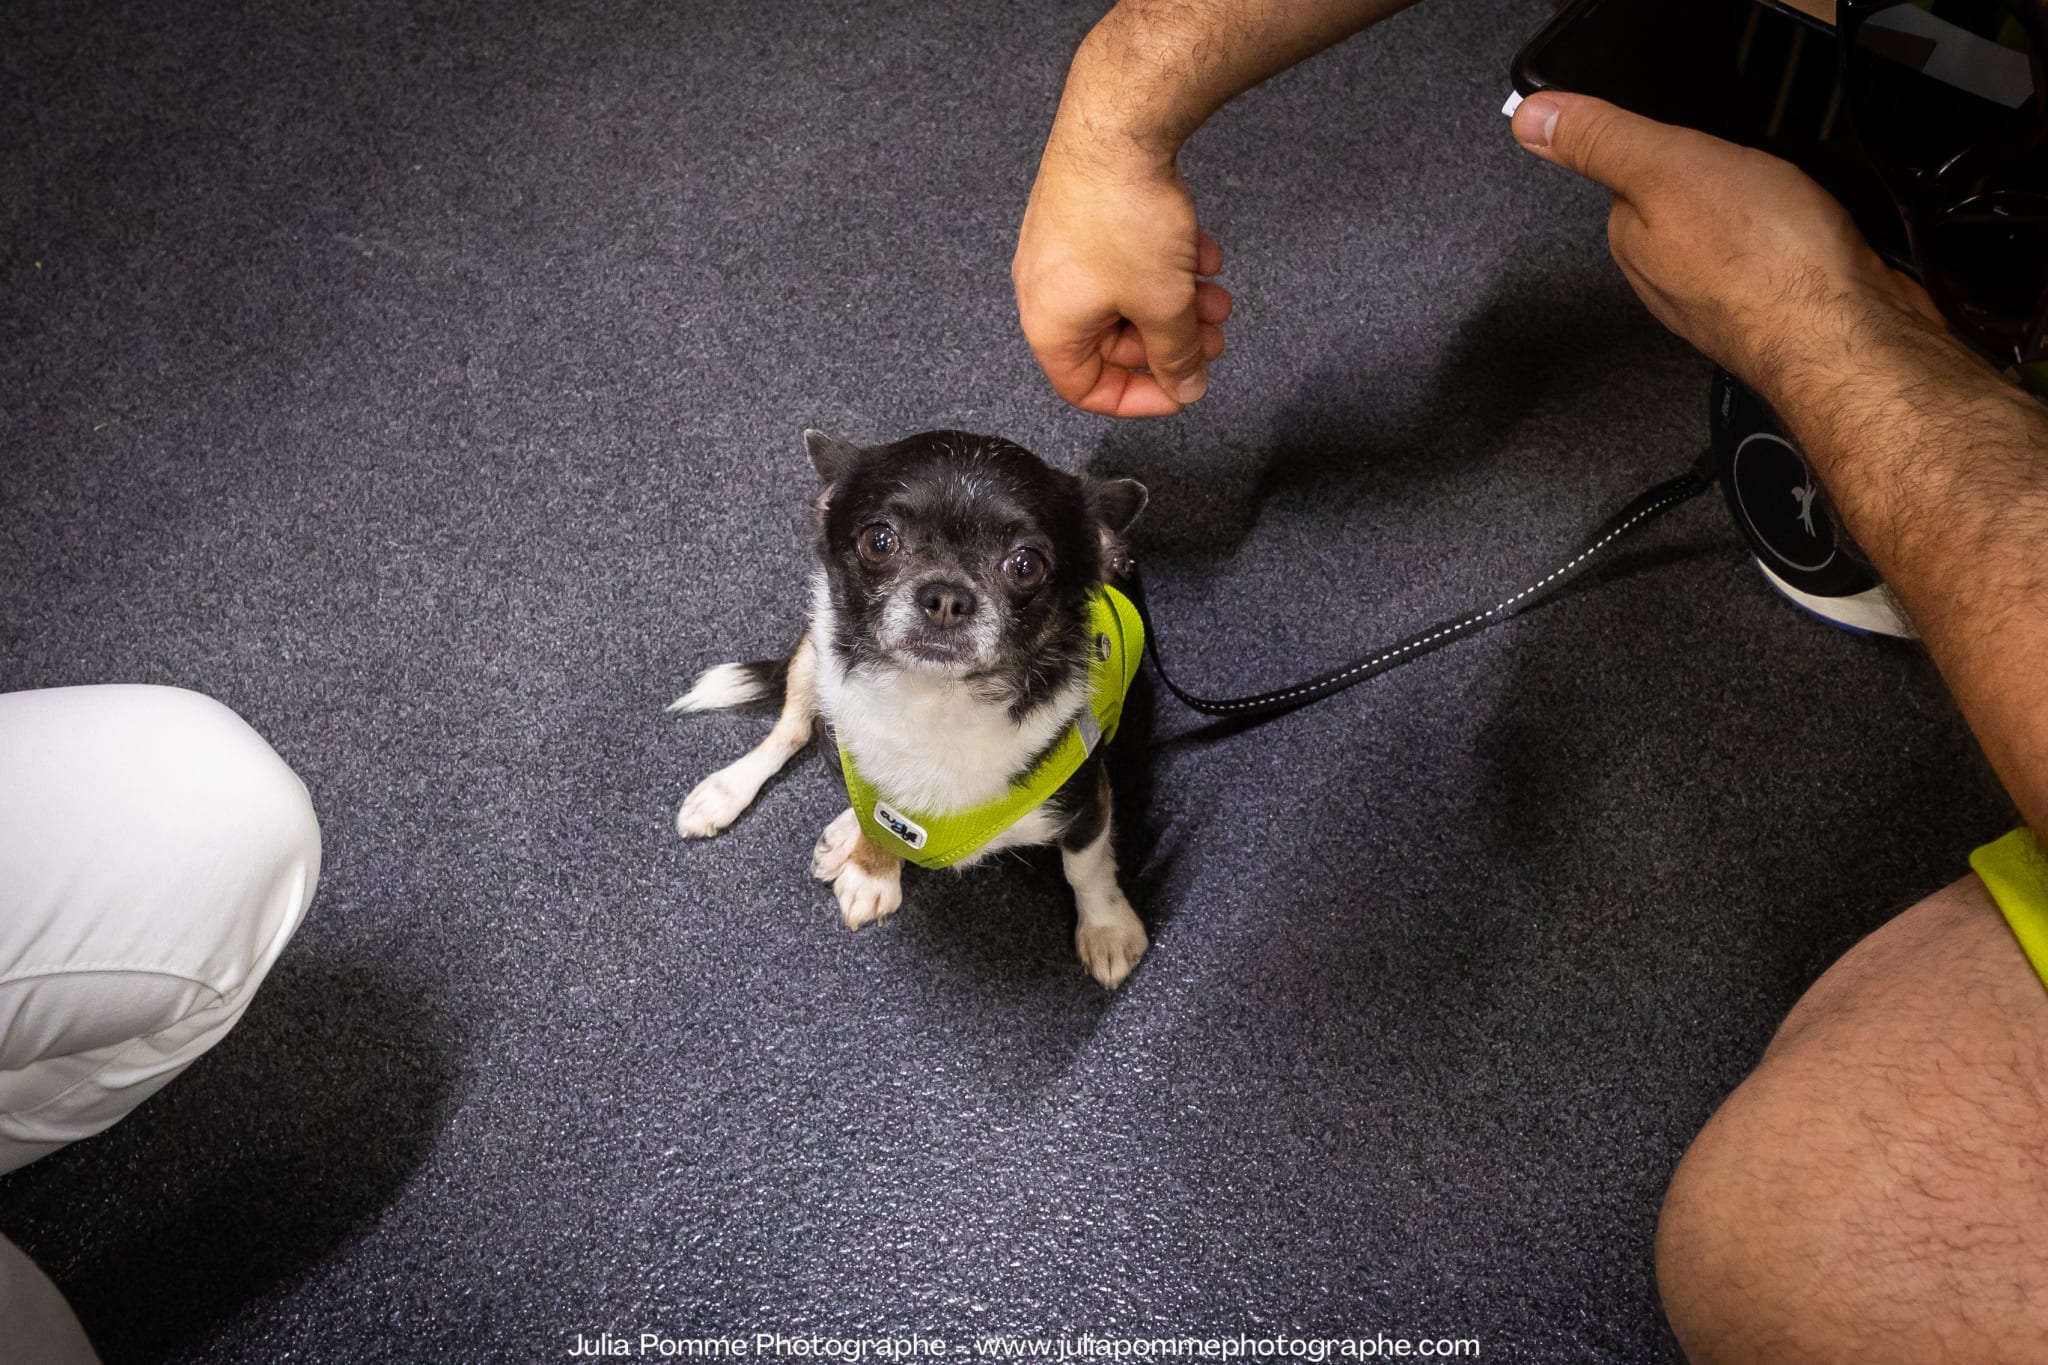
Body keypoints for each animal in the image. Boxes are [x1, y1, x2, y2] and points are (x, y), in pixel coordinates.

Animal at [671, 427, 1155, 982]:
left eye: (1026, 564)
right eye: (878, 541)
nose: (945, 596)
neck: (937, 701)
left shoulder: (1086, 799)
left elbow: (1086, 866)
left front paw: (1107, 929)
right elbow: (876, 817)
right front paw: (871, 870)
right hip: (812, 651)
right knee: (791, 729)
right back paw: (725, 793)